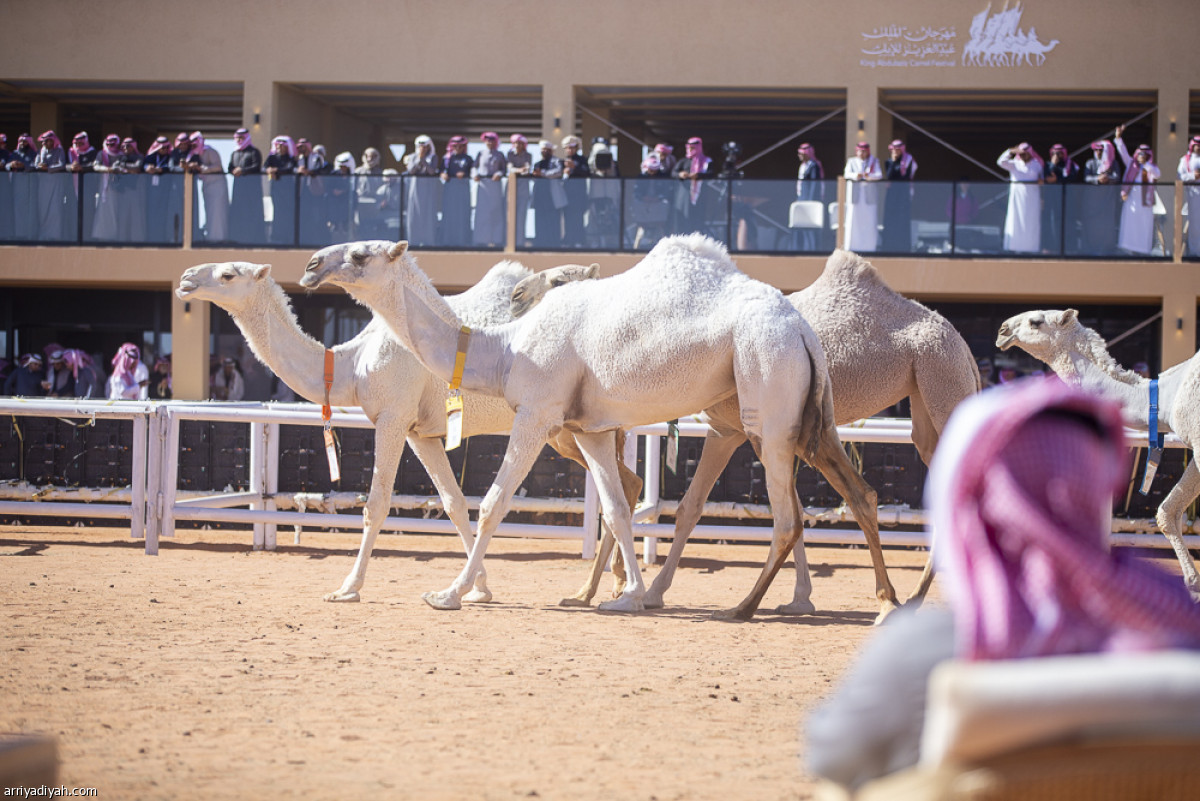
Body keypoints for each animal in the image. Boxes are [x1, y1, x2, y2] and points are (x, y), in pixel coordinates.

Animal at [177, 260, 609, 604]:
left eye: (228, 274)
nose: (185, 279)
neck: (352, 366)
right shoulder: (421, 432)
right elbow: (453, 503)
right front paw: (479, 588)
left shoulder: (392, 416)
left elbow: (377, 504)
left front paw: (347, 588)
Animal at [300, 235, 902, 623]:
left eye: (359, 254)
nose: (309, 265)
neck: (506, 349)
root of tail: (802, 329)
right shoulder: (587, 427)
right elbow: (616, 507)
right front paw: (626, 595)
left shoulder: (537, 410)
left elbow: (493, 502)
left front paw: (450, 593)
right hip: (805, 414)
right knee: (853, 493)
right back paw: (886, 601)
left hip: (767, 395)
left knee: (786, 517)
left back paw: (745, 607)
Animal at [511, 248, 979, 606]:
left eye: (558, 281)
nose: (515, 296)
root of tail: (964, 344)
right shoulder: (740, 432)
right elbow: (700, 508)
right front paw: (800, 598)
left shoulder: (740, 430)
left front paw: (631, 589)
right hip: (923, 407)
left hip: (941, 379)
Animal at [998, 306, 1200, 594]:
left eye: (1035, 322)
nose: (1002, 330)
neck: (1164, 399)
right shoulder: (1194, 446)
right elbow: (1166, 512)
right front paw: (1193, 582)